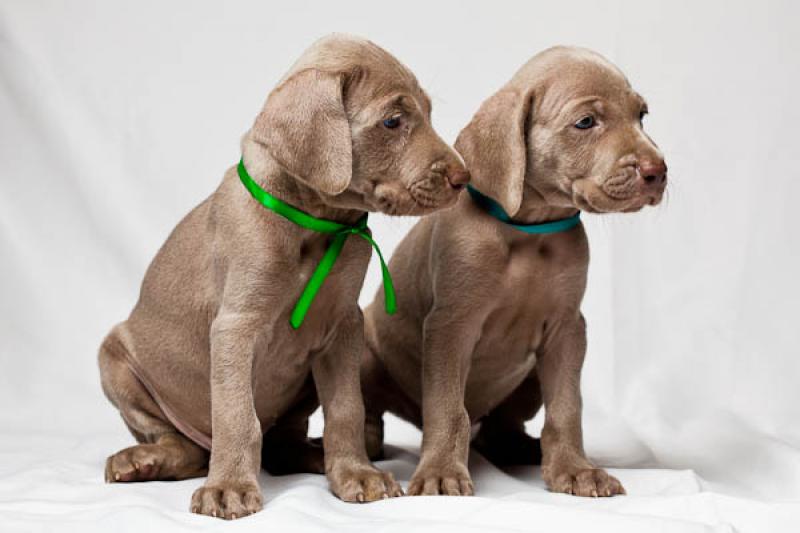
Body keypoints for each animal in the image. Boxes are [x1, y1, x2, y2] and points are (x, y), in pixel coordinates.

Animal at [98, 34, 468, 520]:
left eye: (428, 112)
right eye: (393, 121)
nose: (464, 178)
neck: (317, 224)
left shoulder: (343, 326)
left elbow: (346, 409)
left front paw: (355, 473)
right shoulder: (236, 326)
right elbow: (238, 416)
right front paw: (229, 487)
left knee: (280, 444)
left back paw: (315, 455)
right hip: (114, 358)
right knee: (185, 448)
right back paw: (144, 460)